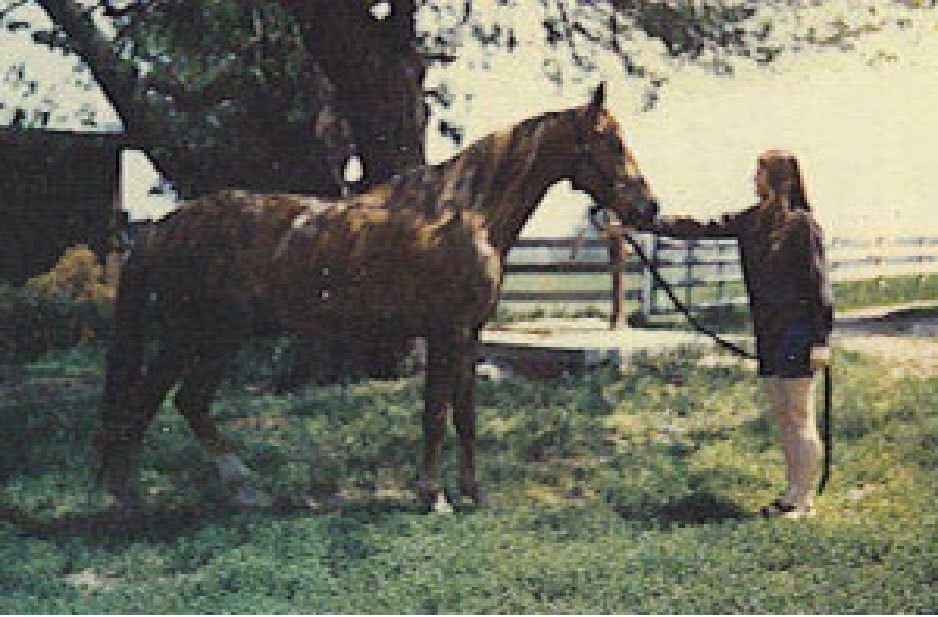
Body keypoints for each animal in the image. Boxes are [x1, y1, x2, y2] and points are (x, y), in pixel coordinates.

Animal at [97, 83, 659, 513]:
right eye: (610, 141)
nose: (648, 206)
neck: (467, 213)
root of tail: (164, 228)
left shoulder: (470, 335)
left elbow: (466, 418)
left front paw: (473, 494)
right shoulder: (445, 333)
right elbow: (436, 414)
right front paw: (433, 497)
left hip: (223, 337)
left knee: (188, 403)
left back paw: (242, 491)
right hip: (192, 335)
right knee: (143, 407)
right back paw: (131, 502)